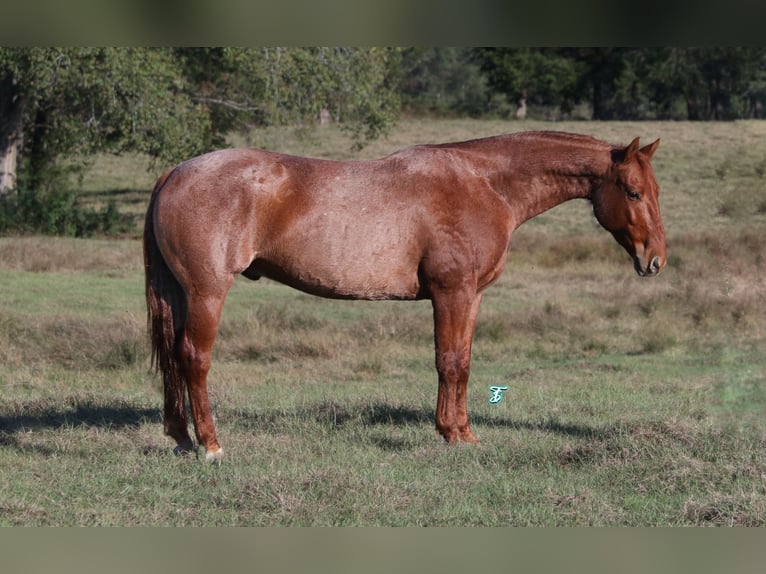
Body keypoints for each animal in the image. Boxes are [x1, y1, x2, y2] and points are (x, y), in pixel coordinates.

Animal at [142, 130, 664, 464]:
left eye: (653, 190)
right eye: (633, 192)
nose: (654, 260)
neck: (484, 183)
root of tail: (175, 173)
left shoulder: (470, 297)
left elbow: (463, 362)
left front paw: (463, 432)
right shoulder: (451, 293)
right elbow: (448, 362)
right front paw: (452, 434)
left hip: (181, 295)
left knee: (175, 358)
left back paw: (181, 437)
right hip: (207, 293)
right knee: (194, 359)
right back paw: (210, 446)